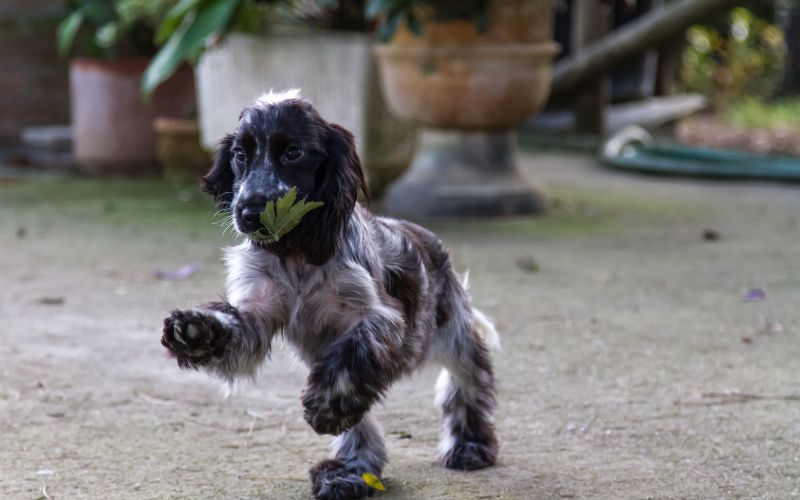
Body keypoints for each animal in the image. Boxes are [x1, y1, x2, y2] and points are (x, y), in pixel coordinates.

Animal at [161, 90, 500, 500]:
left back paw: (469, 445)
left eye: (293, 153)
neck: (296, 254)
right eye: (241, 154)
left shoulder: (376, 321)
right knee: (362, 426)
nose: (250, 213)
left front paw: (326, 409)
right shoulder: (258, 314)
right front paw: (193, 332)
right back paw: (349, 473)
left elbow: (348, 364)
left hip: (457, 335)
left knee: (467, 385)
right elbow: (232, 328)